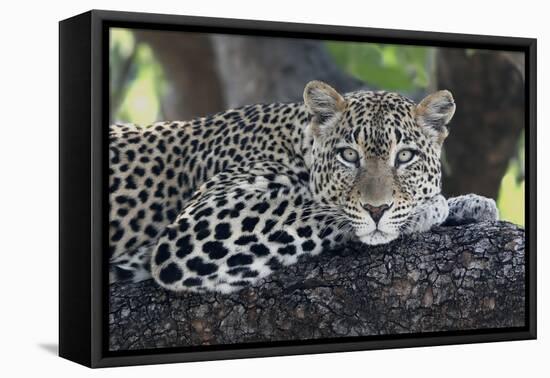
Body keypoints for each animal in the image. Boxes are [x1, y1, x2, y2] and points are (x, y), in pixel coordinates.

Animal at [108, 79, 500, 292]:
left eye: (404, 156)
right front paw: (427, 210)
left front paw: (469, 204)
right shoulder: (200, 224)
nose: (377, 209)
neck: (296, 143)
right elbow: (318, 209)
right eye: (348, 155)